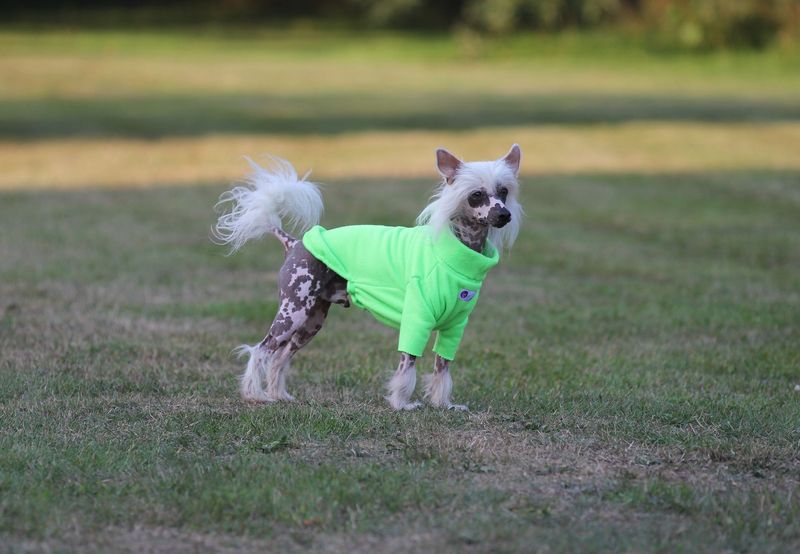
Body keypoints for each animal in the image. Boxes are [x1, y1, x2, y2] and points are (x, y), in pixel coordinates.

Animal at [212, 146, 524, 410]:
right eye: (476, 195)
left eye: (503, 191)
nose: (504, 214)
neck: (460, 250)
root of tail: (294, 242)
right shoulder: (417, 319)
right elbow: (408, 365)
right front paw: (401, 404)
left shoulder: (454, 327)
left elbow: (442, 367)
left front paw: (443, 404)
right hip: (293, 312)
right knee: (261, 350)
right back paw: (255, 395)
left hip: (312, 320)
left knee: (279, 357)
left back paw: (279, 395)